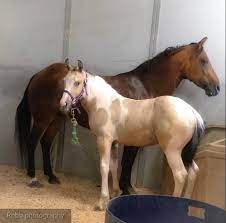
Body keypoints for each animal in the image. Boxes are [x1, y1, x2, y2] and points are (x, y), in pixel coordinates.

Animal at [14, 37, 219, 191]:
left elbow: (127, 162)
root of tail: (39, 74)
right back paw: (33, 177)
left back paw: (51, 176)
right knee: (32, 142)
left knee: (45, 142)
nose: (216, 87)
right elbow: (127, 163)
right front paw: (125, 188)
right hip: (43, 119)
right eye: (204, 61)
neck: (146, 85)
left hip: (56, 119)